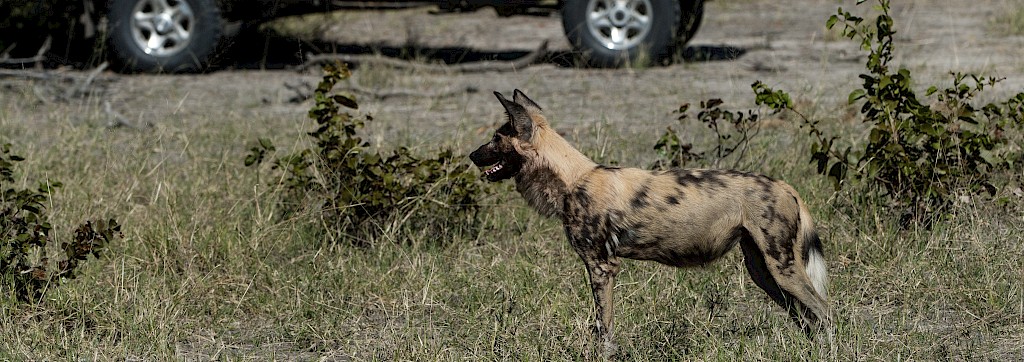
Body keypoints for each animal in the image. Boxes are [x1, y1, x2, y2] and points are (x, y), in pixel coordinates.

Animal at [471, 88, 831, 351]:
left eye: (495, 139)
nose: (472, 154)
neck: (572, 180)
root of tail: (784, 185)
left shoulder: (601, 267)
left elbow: (603, 326)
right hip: (763, 271)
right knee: (806, 317)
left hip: (782, 268)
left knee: (825, 311)